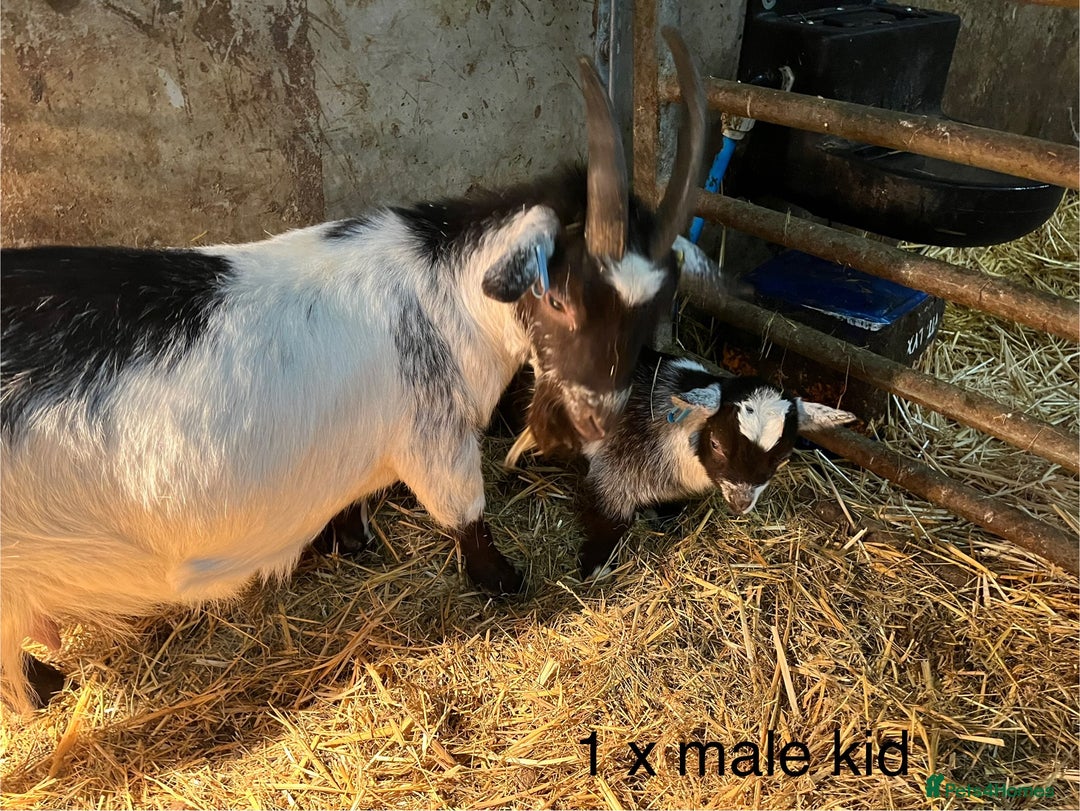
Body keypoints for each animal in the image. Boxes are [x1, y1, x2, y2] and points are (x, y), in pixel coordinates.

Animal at [0, 30, 707, 714]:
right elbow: (466, 514)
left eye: (655, 304)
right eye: (558, 298)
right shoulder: (434, 438)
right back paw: (44, 690)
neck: (443, 290)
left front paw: (353, 539)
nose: (597, 419)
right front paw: (503, 581)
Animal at [507, 348, 855, 578]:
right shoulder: (614, 469)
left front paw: (665, 515)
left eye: (782, 458)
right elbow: (610, 516)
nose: (741, 502)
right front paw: (596, 564)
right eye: (716, 444)